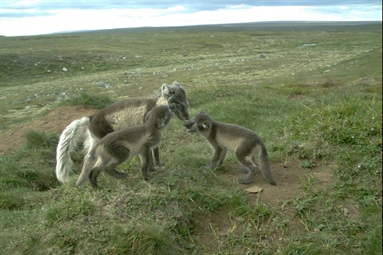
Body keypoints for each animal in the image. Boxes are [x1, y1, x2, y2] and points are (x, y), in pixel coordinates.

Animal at [56, 81, 190, 183]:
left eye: (186, 102)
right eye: (179, 103)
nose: (187, 117)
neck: (157, 105)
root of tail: (91, 117)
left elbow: (155, 152)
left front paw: (158, 165)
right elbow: (149, 156)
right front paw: (152, 168)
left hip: (95, 142)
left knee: (89, 158)